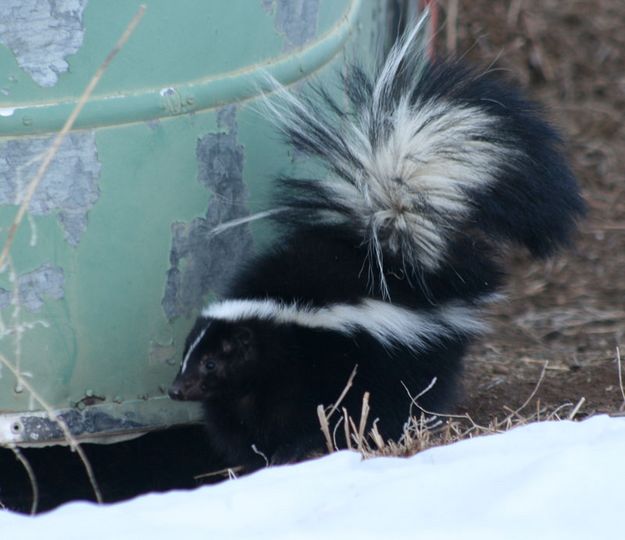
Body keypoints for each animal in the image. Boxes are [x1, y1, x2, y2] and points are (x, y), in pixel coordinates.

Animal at [168, 13, 584, 468]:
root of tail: (398, 253)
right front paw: (252, 459)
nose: (176, 389)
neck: (278, 316)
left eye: (211, 363)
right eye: (188, 353)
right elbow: (240, 425)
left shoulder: (311, 367)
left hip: (412, 355)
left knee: (411, 395)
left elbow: (303, 416)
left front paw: (288, 453)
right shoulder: (248, 392)